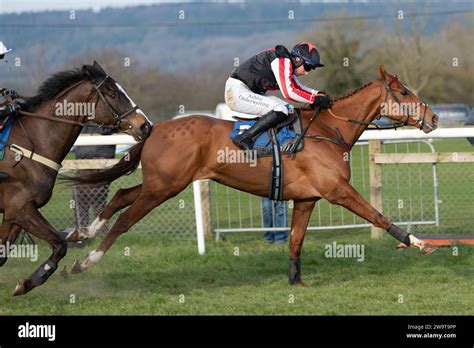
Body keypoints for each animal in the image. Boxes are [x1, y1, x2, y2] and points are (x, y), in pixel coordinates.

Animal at [0, 61, 152, 294]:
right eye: (112, 94)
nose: (145, 125)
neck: (28, 147)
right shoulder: (21, 208)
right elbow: (60, 245)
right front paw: (30, 281)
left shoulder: (14, 212)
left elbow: (3, 253)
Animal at [65, 64, 436, 286]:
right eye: (404, 92)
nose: (432, 118)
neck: (329, 131)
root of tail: (154, 129)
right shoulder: (337, 191)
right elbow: (377, 215)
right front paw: (417, 242)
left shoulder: (307, 198)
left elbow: (296, 240)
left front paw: (295, 282)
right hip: (164, 188)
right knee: (125, 220)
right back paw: (84, 261)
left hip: (161, 183)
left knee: (120, 195)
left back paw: (83, 232)